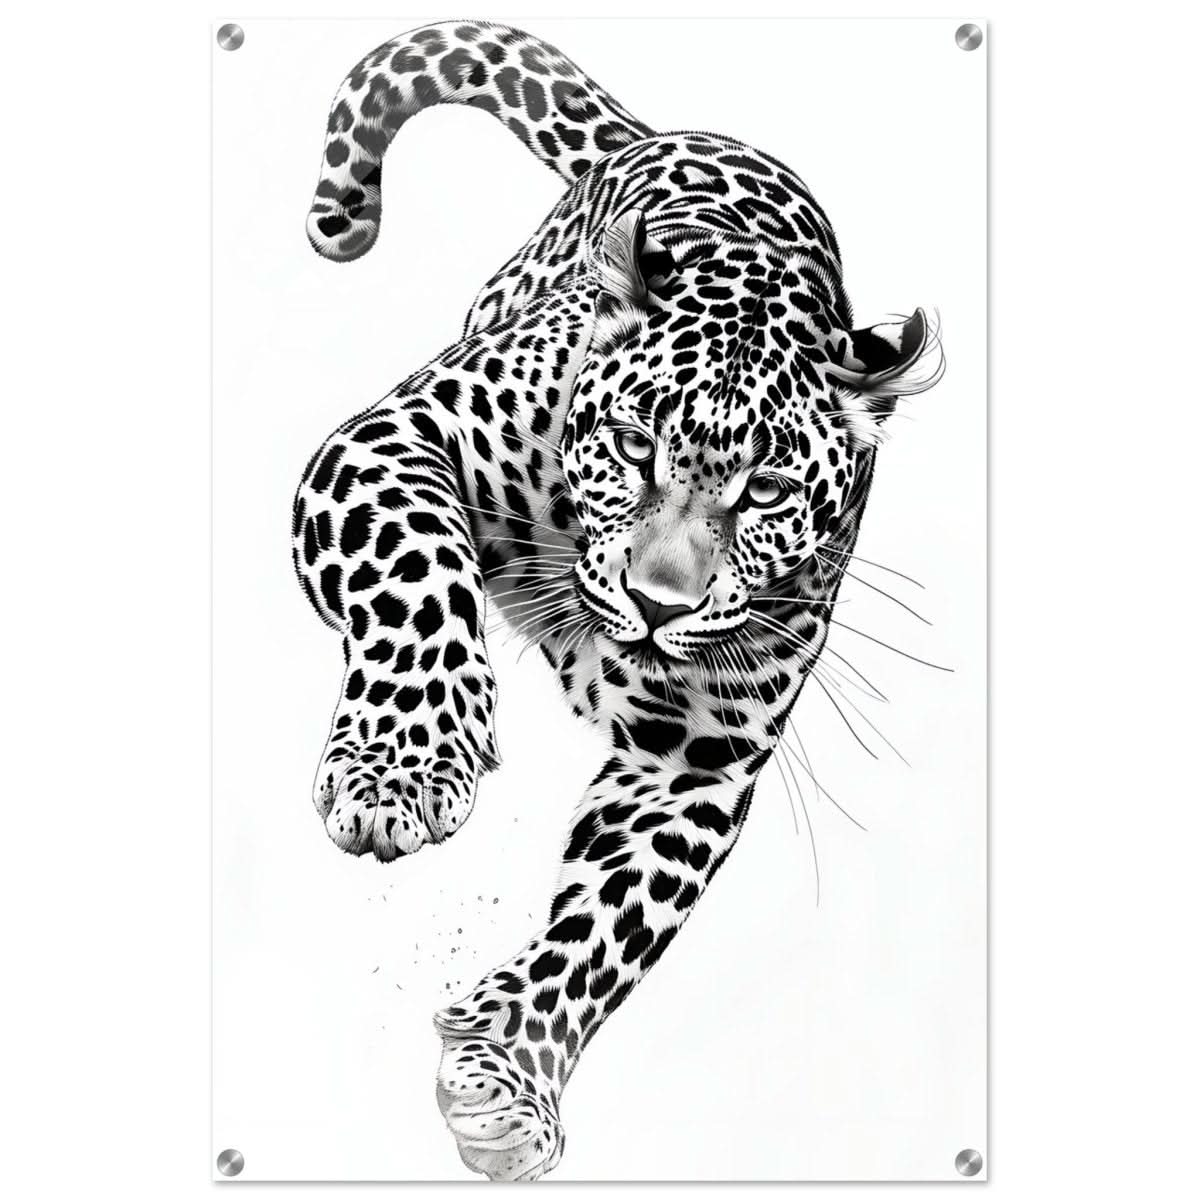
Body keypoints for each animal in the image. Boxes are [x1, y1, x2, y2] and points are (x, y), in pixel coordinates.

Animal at [294, 19, 943, 1181]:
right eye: (635, 447)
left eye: (765, 490)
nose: (656, 605)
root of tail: (676, 131)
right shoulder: (391, 440)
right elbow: (419, 576)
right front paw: (402, 767)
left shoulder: (696, 757)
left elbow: (609, 925)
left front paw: (508, 1077)